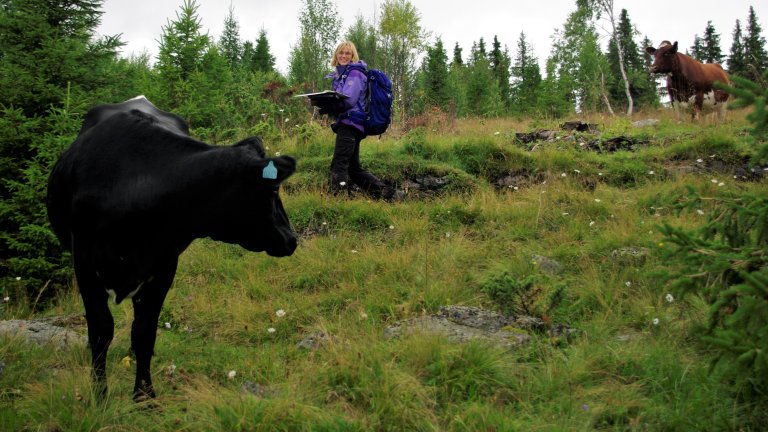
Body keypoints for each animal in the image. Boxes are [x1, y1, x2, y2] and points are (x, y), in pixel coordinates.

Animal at [45, 97, 296, 402]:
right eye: (273, 190)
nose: (291, 238)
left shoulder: (163, 266)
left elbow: (144, 332)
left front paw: (144, 396)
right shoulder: (84, 264)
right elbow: (101, 331)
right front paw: (100, 396)